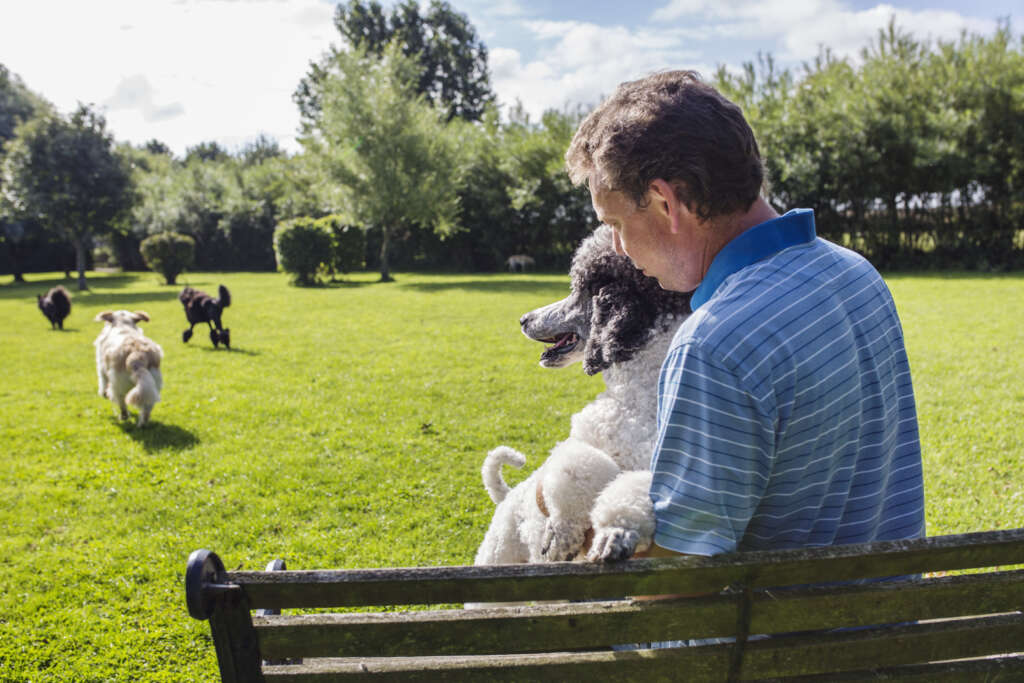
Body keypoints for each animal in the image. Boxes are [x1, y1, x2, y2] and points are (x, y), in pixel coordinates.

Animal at [475, 228, 692, 565]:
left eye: (579, 289)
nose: (524, 319)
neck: (638, 396)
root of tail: (508, 495)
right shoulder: (581, 443)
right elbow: (576, 467)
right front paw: (564, 531)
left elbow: (633, 491)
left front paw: (615, 532)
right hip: (498, 555)